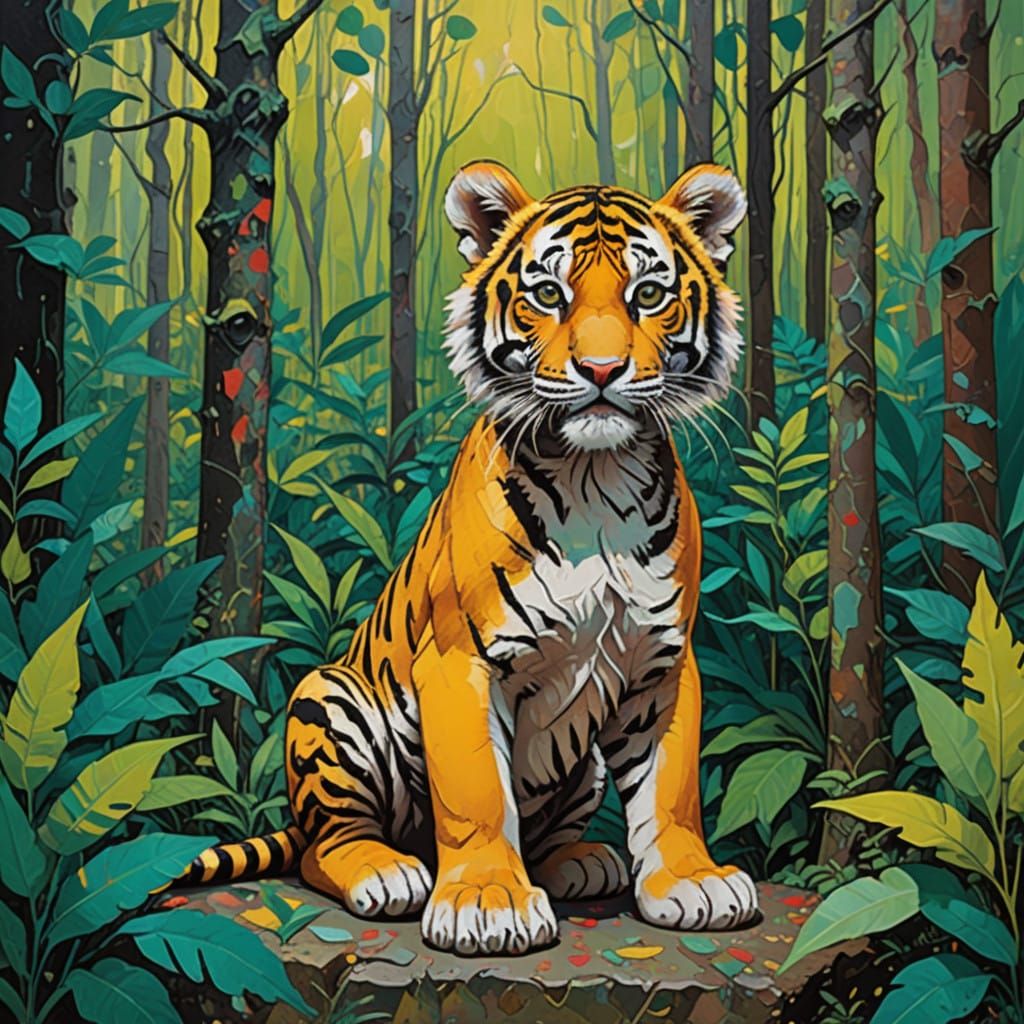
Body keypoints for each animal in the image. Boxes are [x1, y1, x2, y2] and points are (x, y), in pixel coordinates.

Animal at [182, 160, 758, 956]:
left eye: (648, 295)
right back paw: (387, 871)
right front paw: (487, 901)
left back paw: (582, 862)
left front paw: (691, 881)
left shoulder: (664, 663)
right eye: (548, 294)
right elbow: (478, 790)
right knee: (321, 848)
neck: (597, 477)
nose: (601, 370)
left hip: (581, 767)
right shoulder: (462, 661)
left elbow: (671, 788)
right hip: (328, 699)